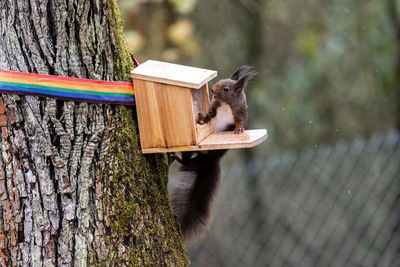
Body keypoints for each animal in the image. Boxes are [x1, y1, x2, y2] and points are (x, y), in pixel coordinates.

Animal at [169, 65, 256, 245]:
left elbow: (240, 121)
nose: (212, 89)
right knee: (186, 159)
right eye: (220, 80)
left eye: (226, 88)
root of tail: (211, 159)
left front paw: (239, 129)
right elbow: (211, 112)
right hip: (191, 147)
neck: (226, 103)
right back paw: (177, 155)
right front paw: (205, 117)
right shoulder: (215, 105)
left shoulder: (240, 111)